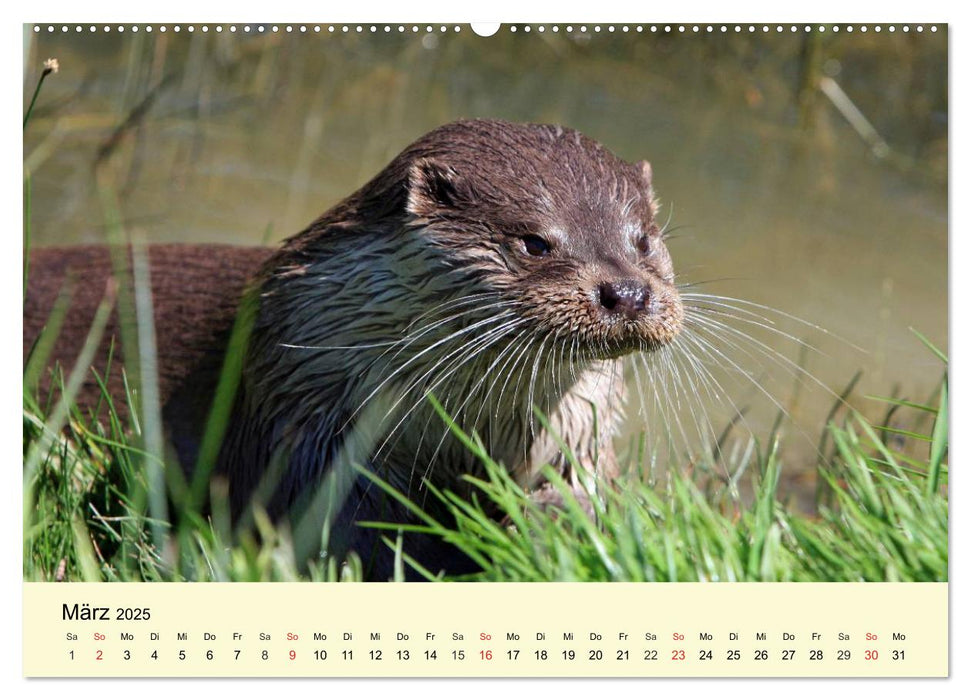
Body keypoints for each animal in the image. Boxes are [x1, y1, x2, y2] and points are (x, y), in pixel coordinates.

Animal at [26, 119, 688, 580]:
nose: (629, 292)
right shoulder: (304, 422)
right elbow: (345, 529)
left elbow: (584, 499)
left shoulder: (577, 433)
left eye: (643, 240)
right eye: (534, 242)